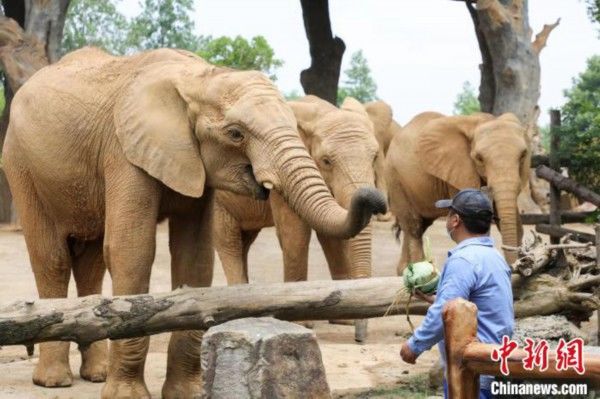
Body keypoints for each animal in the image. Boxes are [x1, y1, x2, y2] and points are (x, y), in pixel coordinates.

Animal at [2, 47, 386, 399]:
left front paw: (185, 393)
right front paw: (127, 396)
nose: (375, 197)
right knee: (52, 258)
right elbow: (131, 250)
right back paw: (54, 381)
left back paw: (94, 374)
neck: (200, 77)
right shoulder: (125, 151)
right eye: (235, 134)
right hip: (20, 164)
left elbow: (195, 256)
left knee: (91, 261)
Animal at [384, 111, 528, 274]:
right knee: (414, 227)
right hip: (395, 178)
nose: (514, 267)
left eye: (523, 155)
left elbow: (515, 222)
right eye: (479, 158)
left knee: (417, 227)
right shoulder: (459, 171)